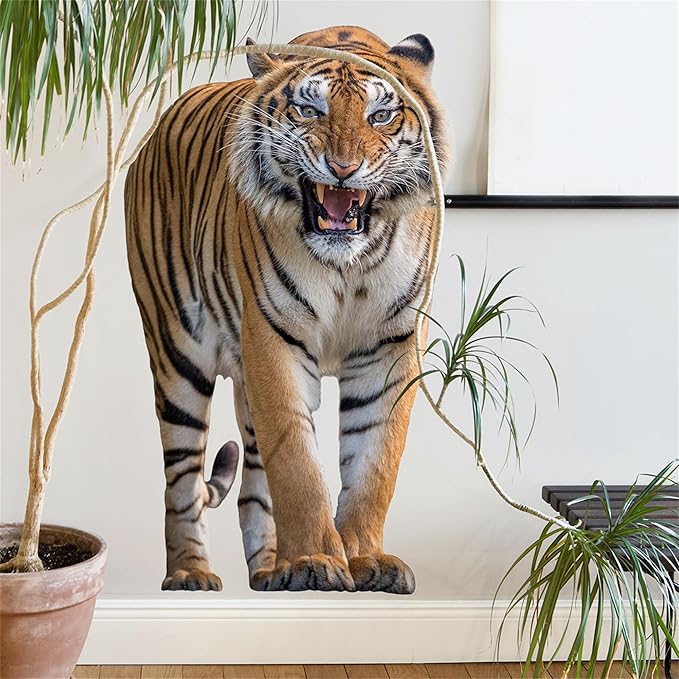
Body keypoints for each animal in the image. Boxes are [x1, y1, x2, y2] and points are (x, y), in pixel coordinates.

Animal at [124, 25, 448, 594]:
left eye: (381, 116)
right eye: (309, 110)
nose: (343, 169)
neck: (350, 264)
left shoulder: (391, 348)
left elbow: (374, 463)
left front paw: (366, 559)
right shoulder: (273, 340)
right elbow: (297, 465)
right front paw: (316, 562)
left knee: (253, 485)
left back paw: (269, 571)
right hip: (176, 355)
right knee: (181, 482)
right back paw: (191, 572)